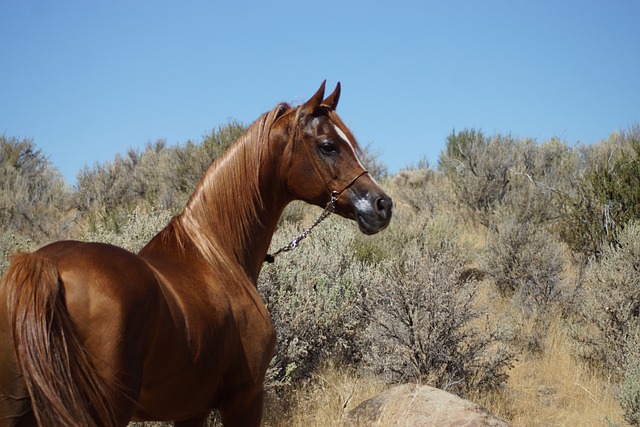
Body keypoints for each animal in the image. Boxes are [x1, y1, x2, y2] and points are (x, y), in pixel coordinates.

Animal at [0, 82, 390, 426]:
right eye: (328, 146)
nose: (382, 205)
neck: (217, 255)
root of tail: (44, 264)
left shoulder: (191, 412)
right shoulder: (245, 399)